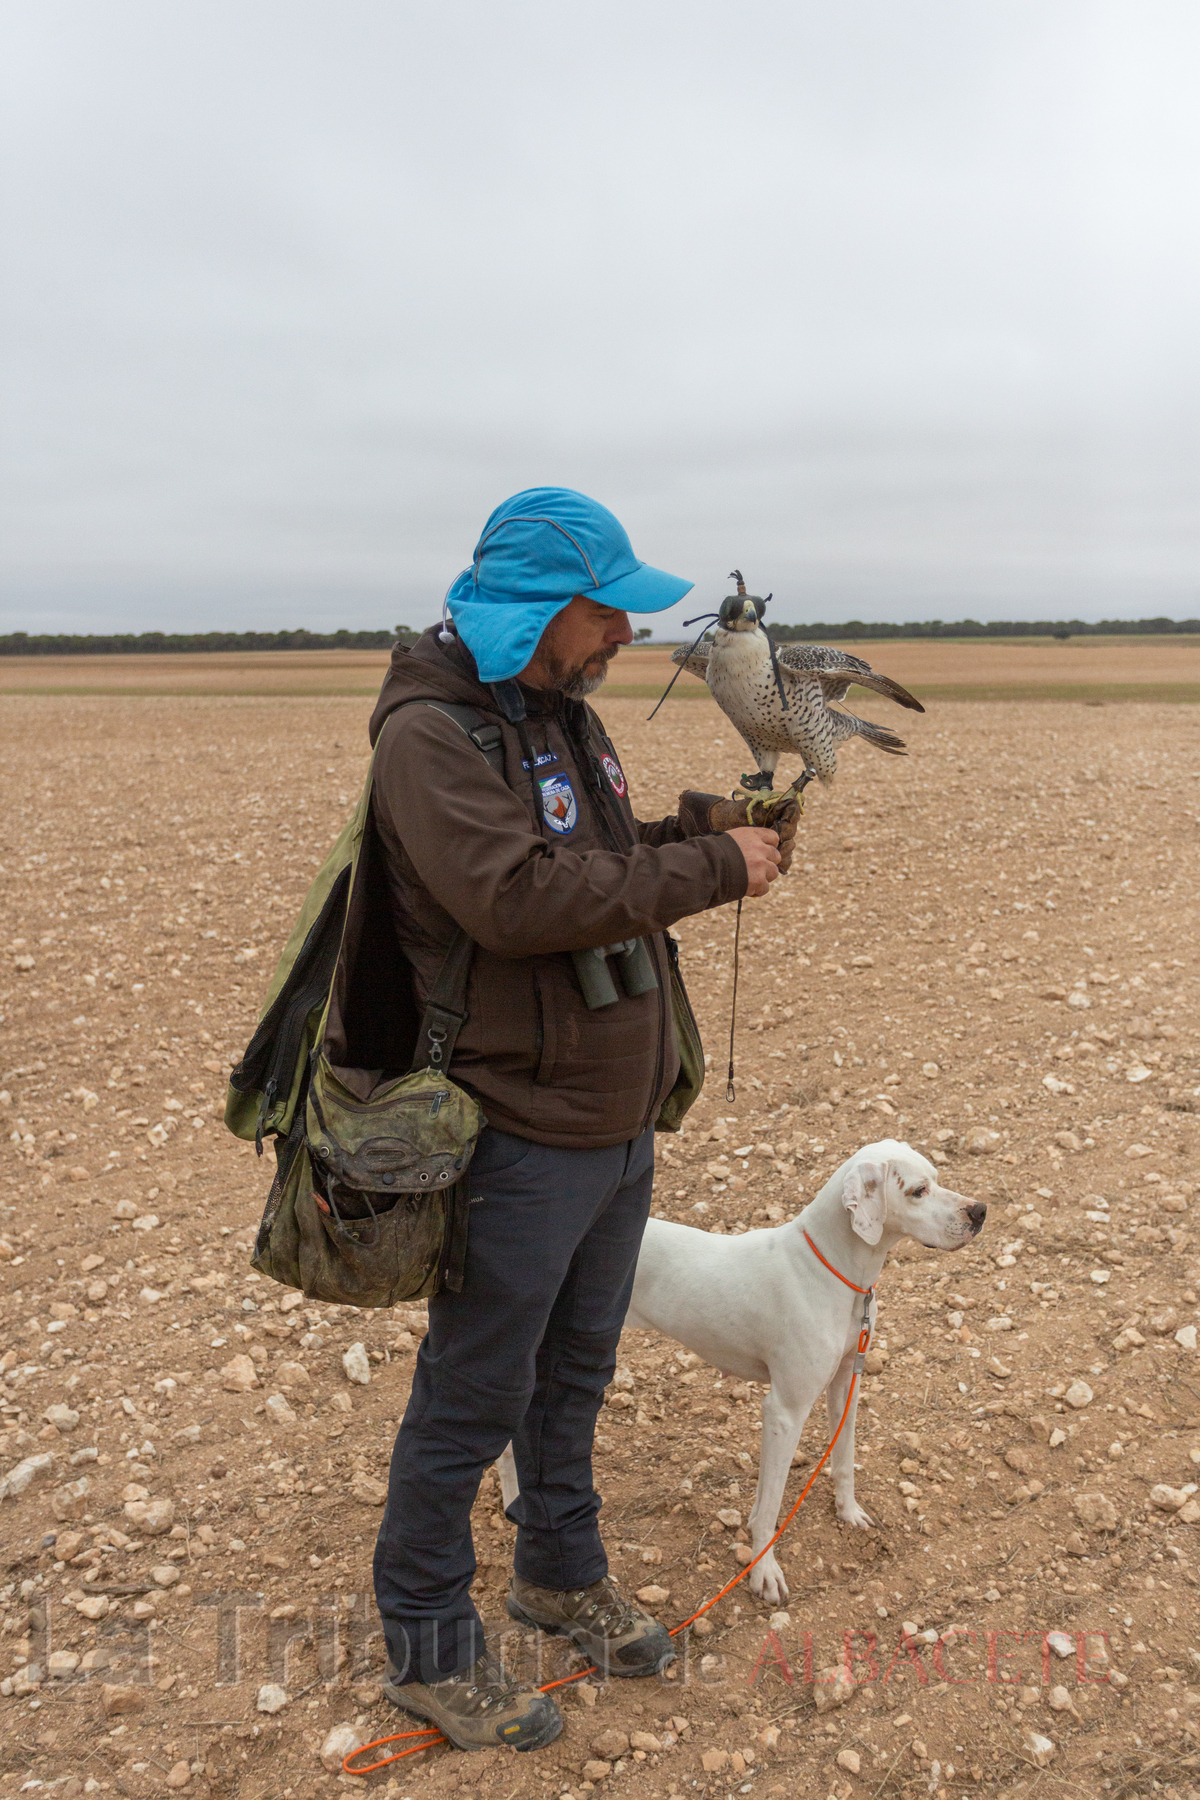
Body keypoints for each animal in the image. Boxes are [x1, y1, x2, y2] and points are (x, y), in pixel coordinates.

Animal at [496, 1137, 985, 1605]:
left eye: (937, 1177)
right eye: (918, 1191)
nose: (980, 1211)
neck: (832, 1268)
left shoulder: (846, 1382)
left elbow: (842, 1460)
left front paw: (848, 1513)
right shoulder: (785, 1412)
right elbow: (769, 1507)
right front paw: (764, 1573)